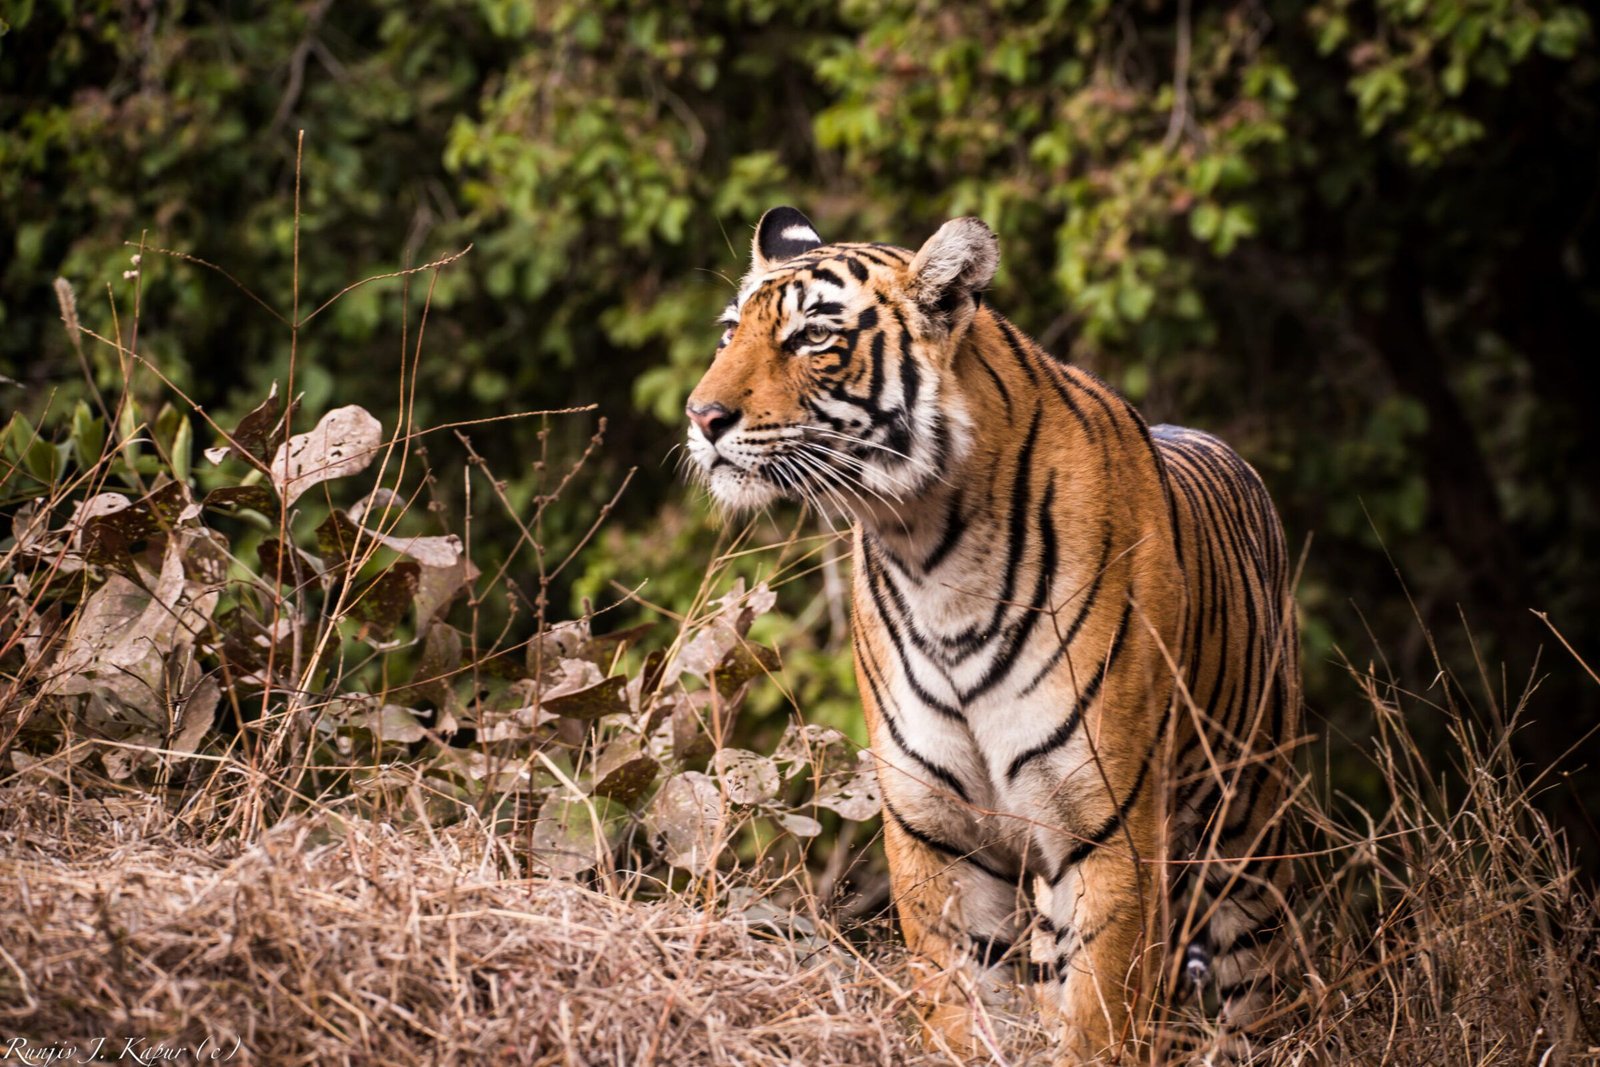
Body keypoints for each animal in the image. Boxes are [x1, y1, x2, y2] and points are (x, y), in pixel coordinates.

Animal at [684, 206, 1299, 1062]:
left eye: (813, 336)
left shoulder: (1109, 831)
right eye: (728, 331)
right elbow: (961, 1005)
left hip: (1249, 834)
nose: (701, 417)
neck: (928, 550)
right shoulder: (937, 834)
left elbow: (1098, 1018)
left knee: (1258, 984)